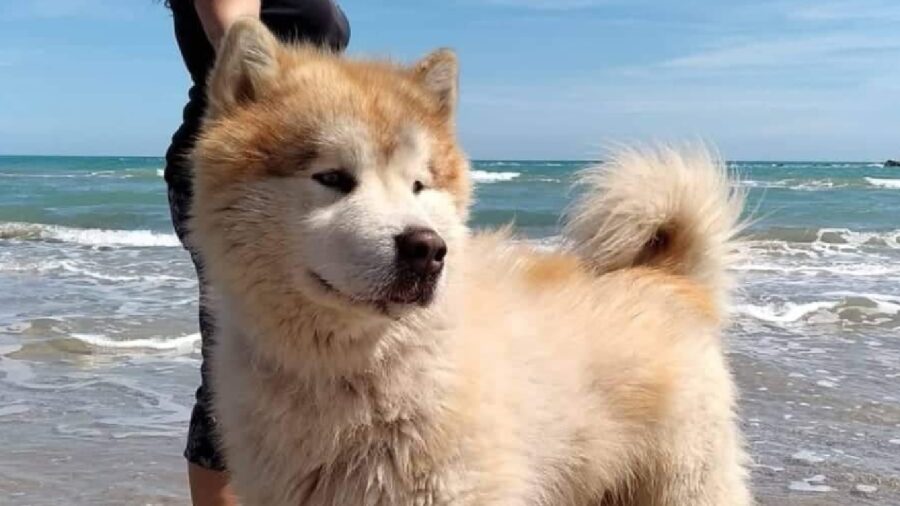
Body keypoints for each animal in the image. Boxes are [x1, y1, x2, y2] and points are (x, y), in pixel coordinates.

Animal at [190, 16, 752, 506]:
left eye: (419, 185)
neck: (351, 375)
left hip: (686, 482)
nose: (426, 249)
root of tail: (665, 276)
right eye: (332, 178)